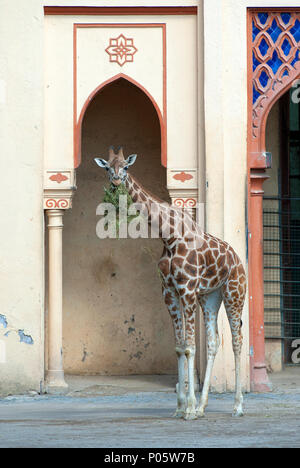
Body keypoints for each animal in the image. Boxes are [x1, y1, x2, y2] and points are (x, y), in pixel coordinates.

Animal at [95, 147, 247, 420]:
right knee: (213, 342)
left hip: (234, 293)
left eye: (126, 167)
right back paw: (203, 406)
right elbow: (179, 347)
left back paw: (237, 407)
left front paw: (188, 408)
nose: (115, 184)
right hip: (211, 297)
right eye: (108, 168)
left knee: (236, 340)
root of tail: (239, 260)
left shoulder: (187, 289)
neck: (168, 236)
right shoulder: (169, 291)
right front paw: (181, 406)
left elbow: (189, 347)